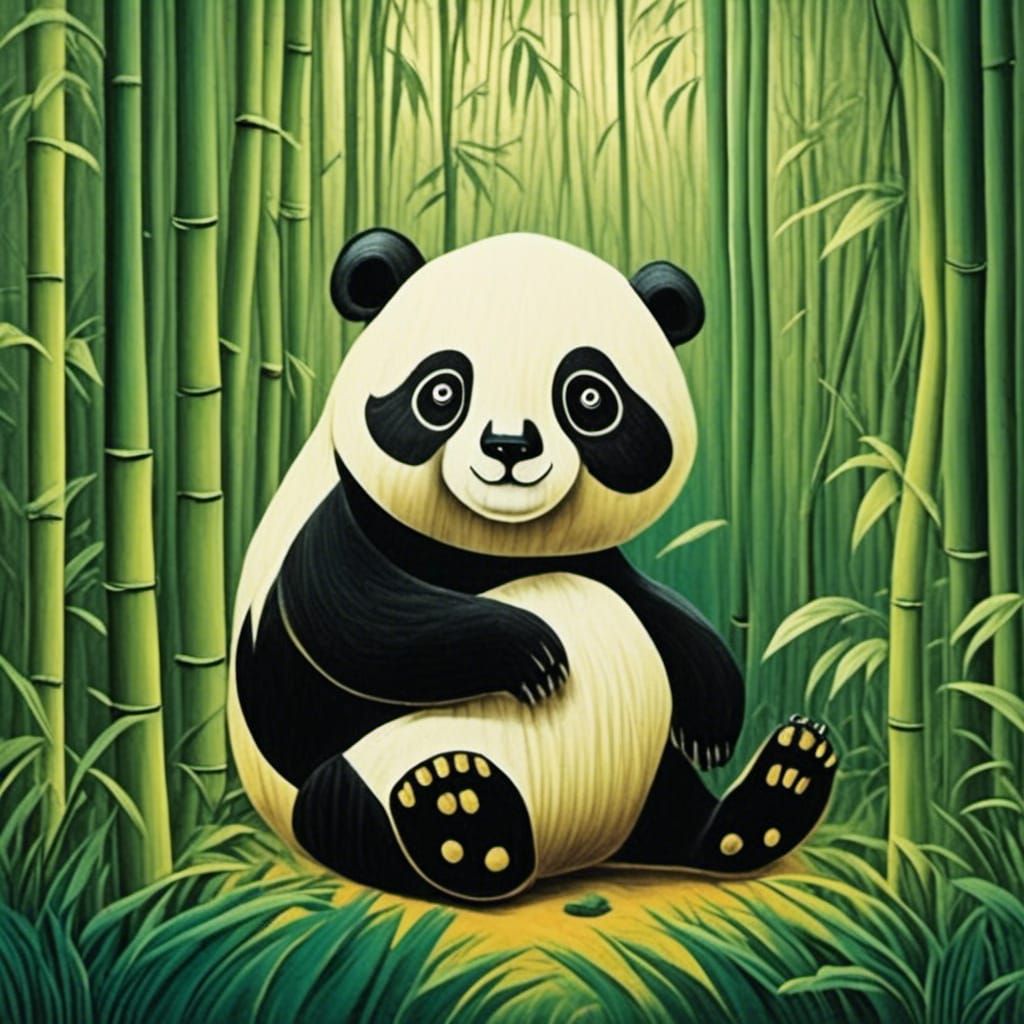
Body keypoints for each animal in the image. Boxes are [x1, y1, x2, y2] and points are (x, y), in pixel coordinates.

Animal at [228, 229, 838, 903]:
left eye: (591, 398)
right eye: (441, 391)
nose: (509, 447)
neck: (500, 543)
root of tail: (570, 855)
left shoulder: (597, 562)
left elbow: (661, 608)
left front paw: (712, 725)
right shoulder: (339, 531)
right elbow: (359, 624)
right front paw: (536, 654)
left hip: (649, 772)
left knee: (679, 811)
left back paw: (779, 791)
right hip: (354, 777)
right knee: (346, 807)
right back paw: (459, 812)